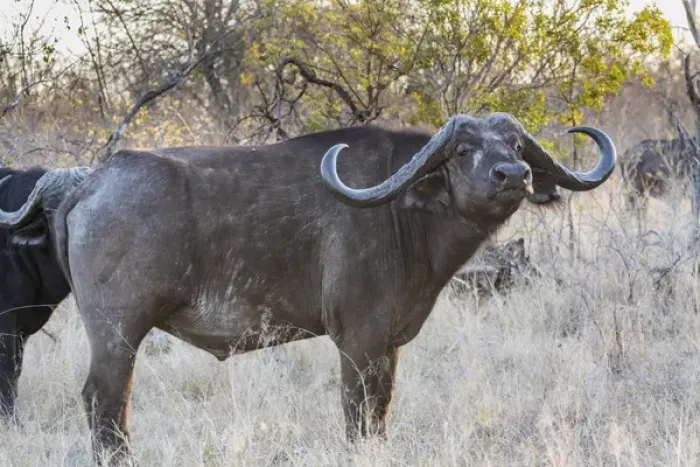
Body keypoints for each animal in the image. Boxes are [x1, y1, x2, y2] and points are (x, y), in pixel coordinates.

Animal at [0, 112, 616, 463]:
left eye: (517, 145)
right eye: (463, 150)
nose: (514, 176)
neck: (404, 213)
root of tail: (94, 181)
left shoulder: (387, 346)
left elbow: (380, 412)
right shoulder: (358, 342)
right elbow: (357, 414)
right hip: (117, 333)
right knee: (105, 401)